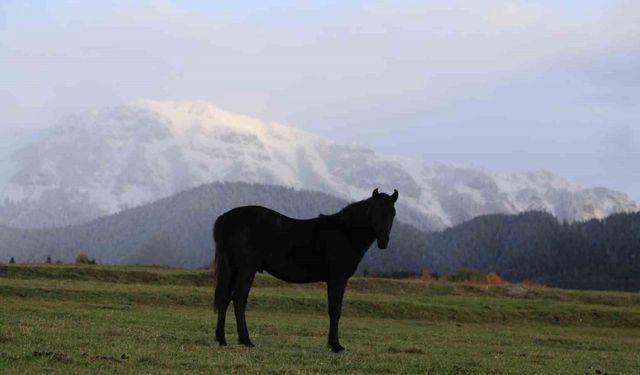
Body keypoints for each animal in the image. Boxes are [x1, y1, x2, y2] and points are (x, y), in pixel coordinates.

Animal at [212, 189, 398, 354]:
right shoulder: (338, 278)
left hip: (232, 268)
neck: (345, 233)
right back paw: (246, 341)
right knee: (239, 299)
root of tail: (224, 219)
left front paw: (332, 344)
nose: (383, 242)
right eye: (374, 212)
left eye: (393, 214)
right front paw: (335, 346)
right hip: (246, 269)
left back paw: (222, 340)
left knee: (225, 299)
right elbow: (335, 310)